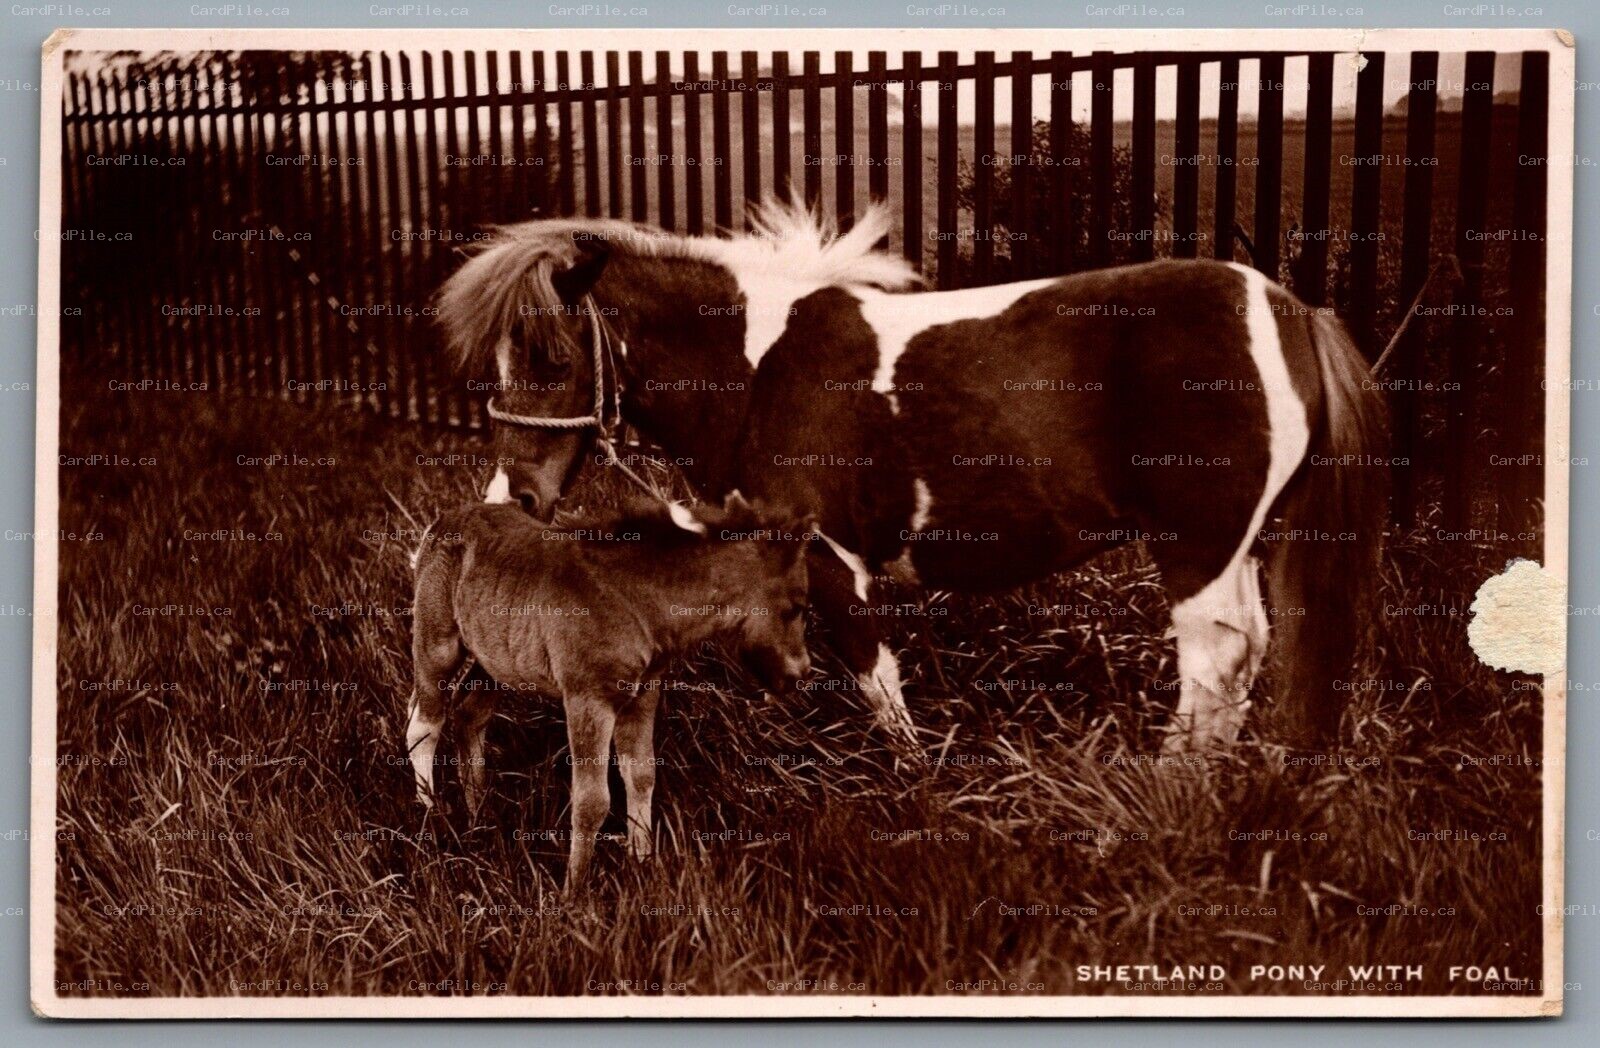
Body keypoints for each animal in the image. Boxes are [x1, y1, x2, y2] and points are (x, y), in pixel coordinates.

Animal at [406, 494, 811, 888]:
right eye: (798, 606)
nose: (802, 673)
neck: (639, 601)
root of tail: (443, 520)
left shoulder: (643, 693)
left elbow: (642, 774)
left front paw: (644, 866)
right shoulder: (588, 699)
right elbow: (592, 801)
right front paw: (574, 892)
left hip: (498, 659)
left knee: (469, 713)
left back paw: (479, 814)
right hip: (438, 643)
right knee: (425, 722)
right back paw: (431, 815)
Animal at [433, 200, 1388, 753]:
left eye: (555, 356)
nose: (515, 499)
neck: (758, 365)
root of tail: (1293, 310)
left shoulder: (830, 557)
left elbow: (873, 676)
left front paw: (909, 777)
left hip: (1200, 545)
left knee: (1218, 656)